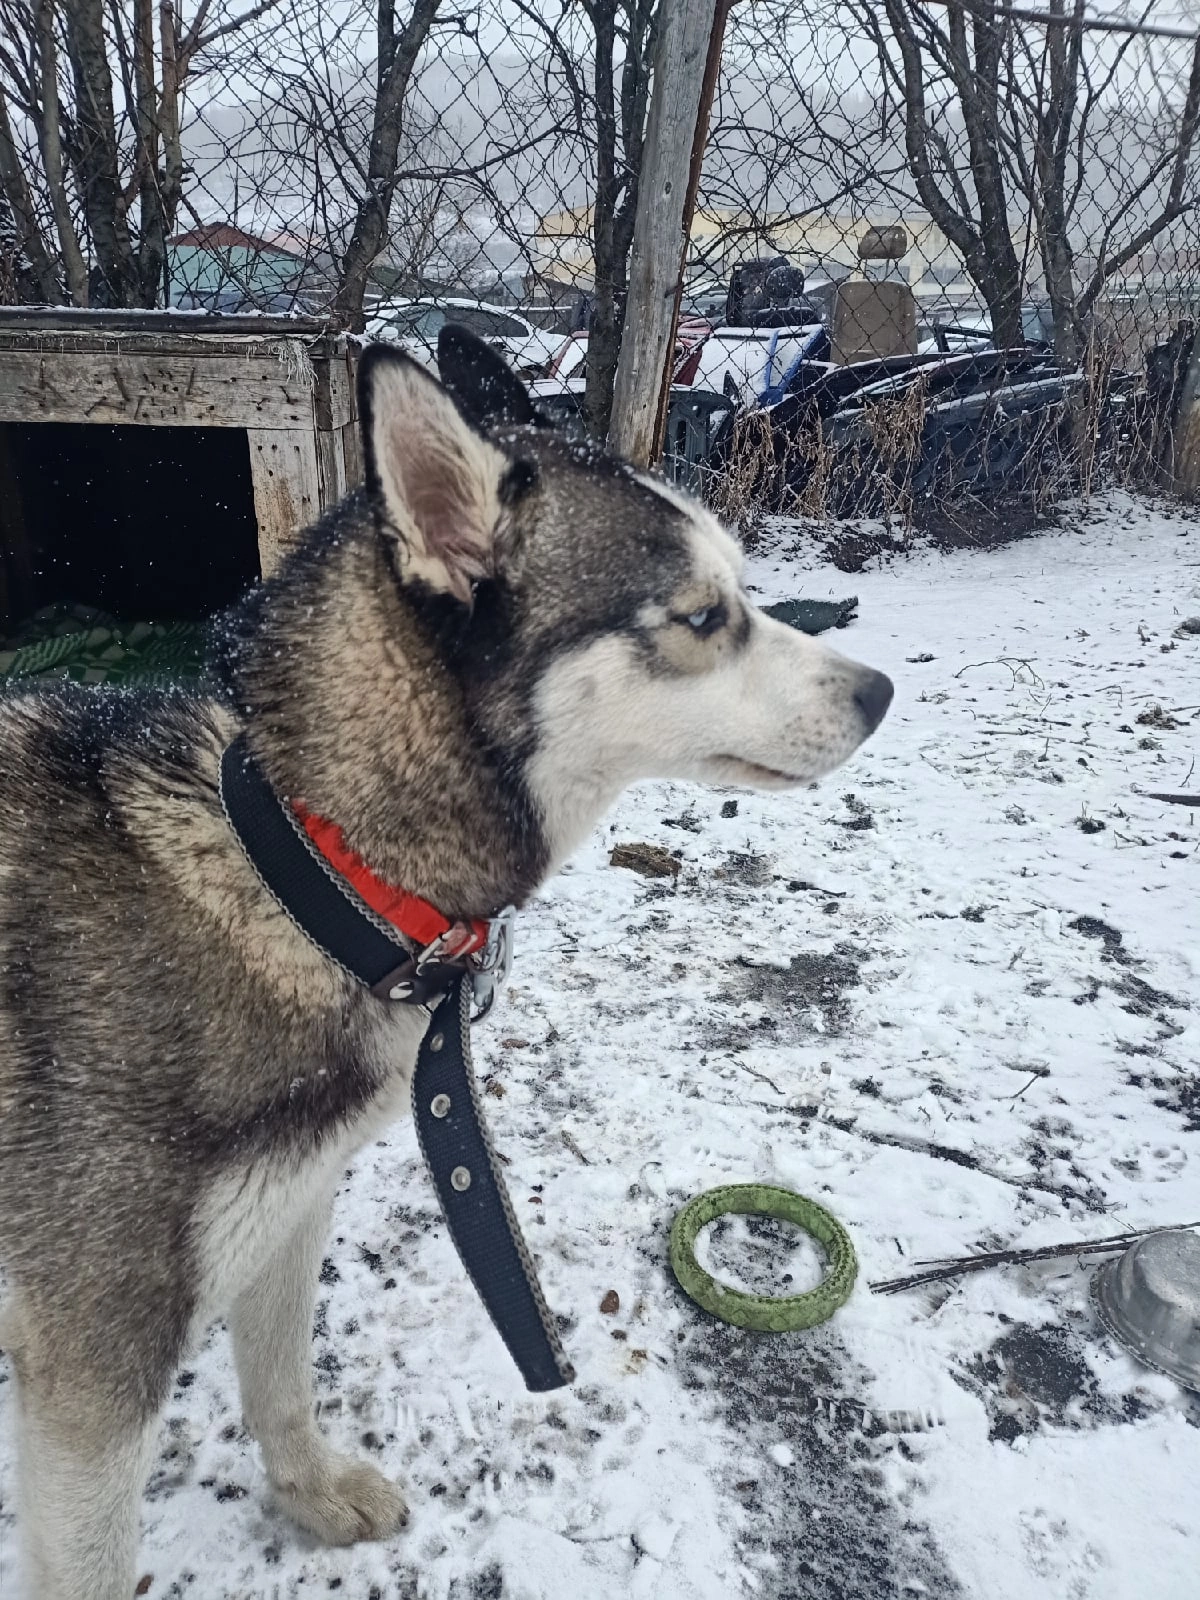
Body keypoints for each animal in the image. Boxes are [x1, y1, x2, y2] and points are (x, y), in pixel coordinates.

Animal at [0, 328, 889, 1600]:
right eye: (701, 614)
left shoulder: (292, 1205)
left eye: (745, 592)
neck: (304, 863)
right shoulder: (93, 1366)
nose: (881, 691)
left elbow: (280, 1381)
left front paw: (311, 1495)